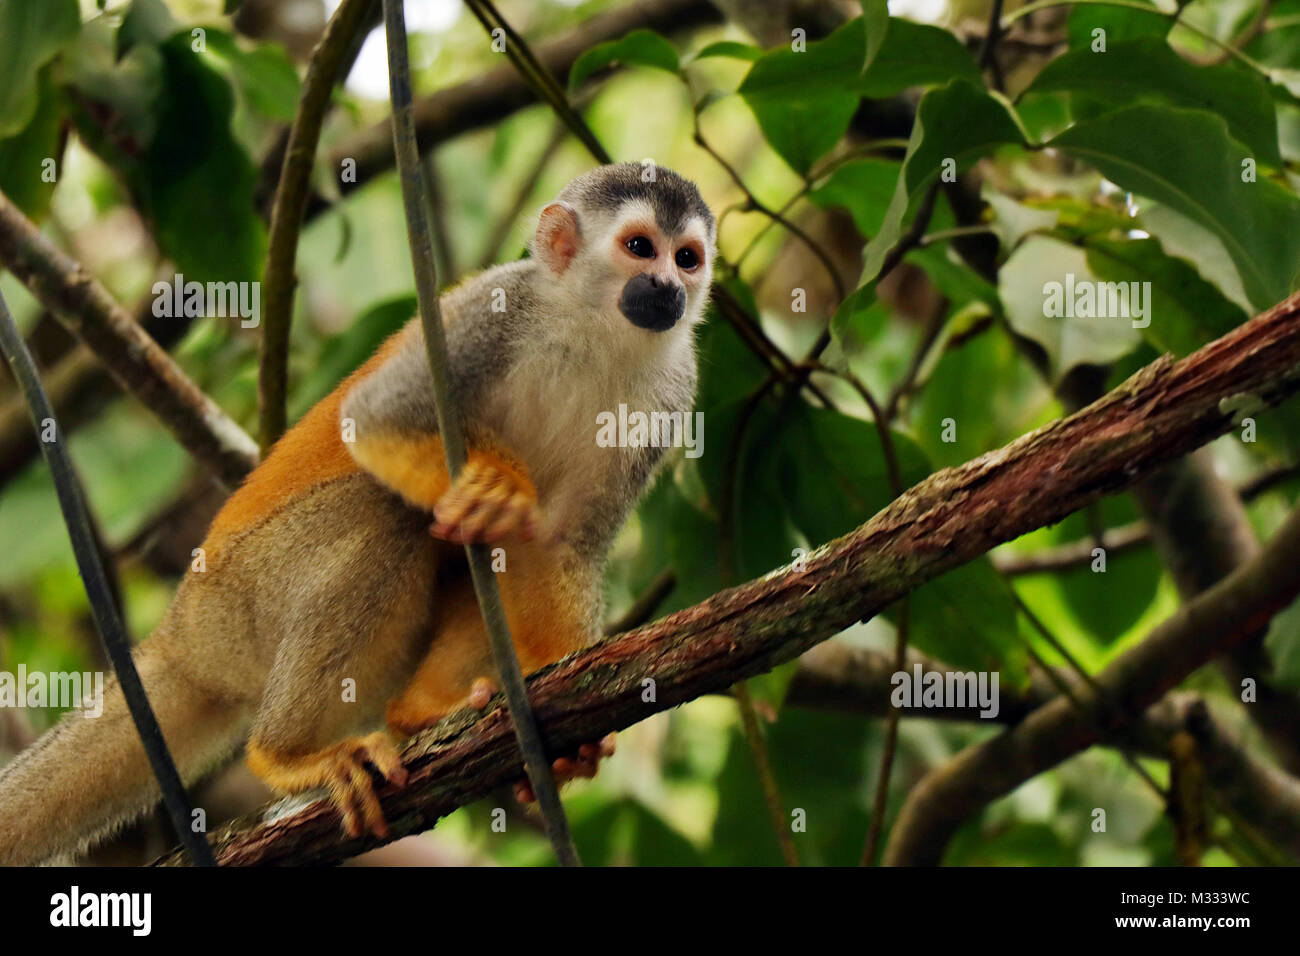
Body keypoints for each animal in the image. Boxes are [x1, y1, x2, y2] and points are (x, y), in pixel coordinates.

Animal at [0, 164, 712, 868]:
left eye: (687, 258)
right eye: (640, 248)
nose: (668, 287)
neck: (593, 332)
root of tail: (181, 636)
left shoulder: (672, 396)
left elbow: (556, 544)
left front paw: (567, 731)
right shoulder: (497, 309)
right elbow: (374, 418)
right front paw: (491, 487)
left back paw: (420, 709)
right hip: (243, 600)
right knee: (384, 514)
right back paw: (286, 756)